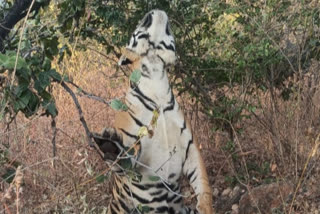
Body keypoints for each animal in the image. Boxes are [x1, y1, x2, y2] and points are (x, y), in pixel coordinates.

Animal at [94, 9, 214, 213]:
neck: (156, 76)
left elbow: (204, 185)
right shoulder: (134, 157)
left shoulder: (191, 149)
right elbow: (122, 161)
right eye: (140, 23)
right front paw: (109, 145)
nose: (153, 11)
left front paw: (206, 207)